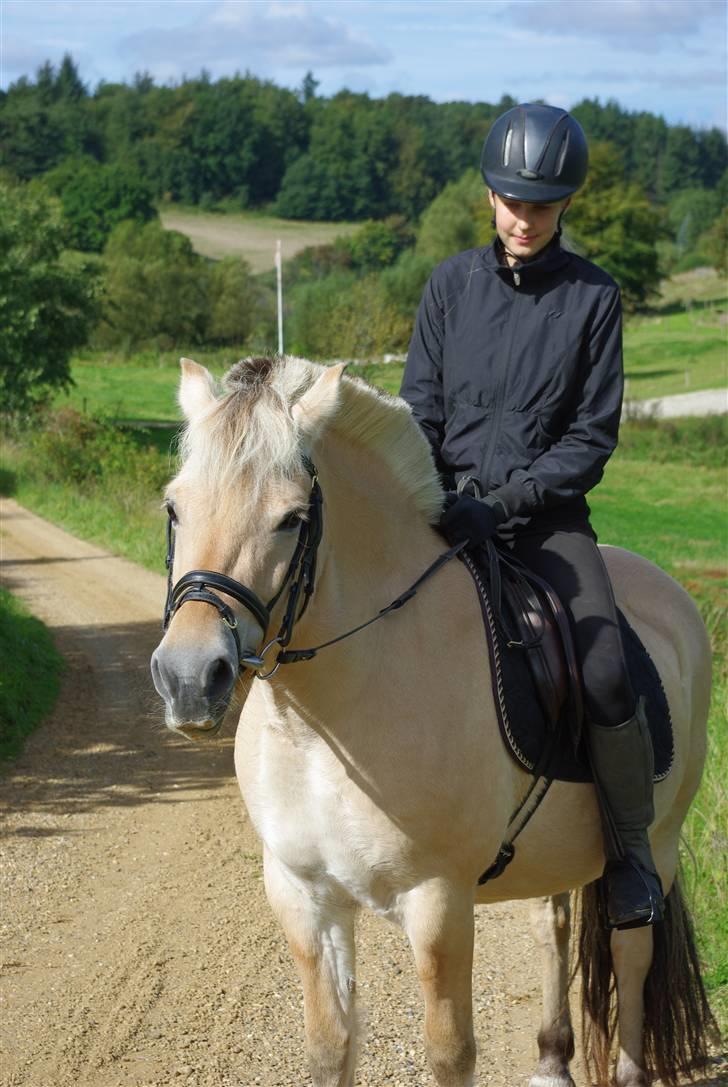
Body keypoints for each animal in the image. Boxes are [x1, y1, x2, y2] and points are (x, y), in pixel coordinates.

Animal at [151, 356, 717, 1087]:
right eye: (174, 507)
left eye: (291, 519)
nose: (190, 679)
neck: (324, 724)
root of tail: (672, 595)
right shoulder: (304, 896)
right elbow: (330, 1046)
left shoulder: (439, 901)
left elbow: (449, 1051)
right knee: (553, 924)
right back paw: (552, 1057)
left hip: (660, 844)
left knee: (633, 952)